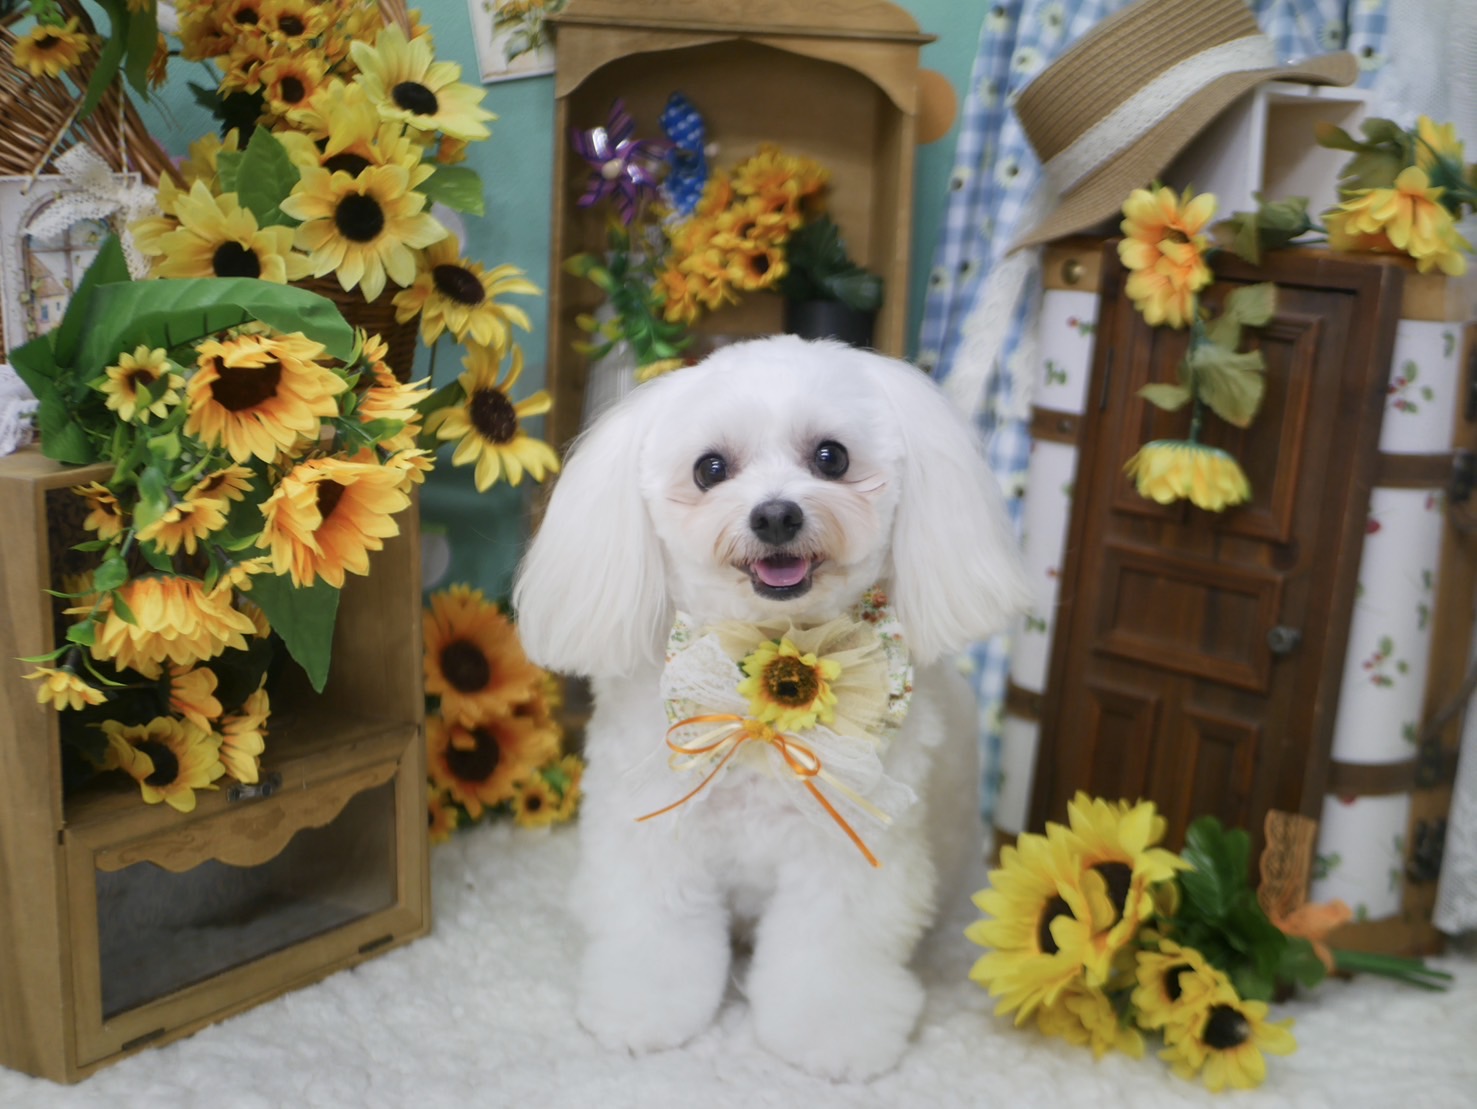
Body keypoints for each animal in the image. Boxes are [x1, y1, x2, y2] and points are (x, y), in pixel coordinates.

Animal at [513, 335, 1027, 1080]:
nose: (776, 514)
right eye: (710, 469)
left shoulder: (848, 851)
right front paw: (641, 1011)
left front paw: (832, 1035)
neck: (762, 669)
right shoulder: (657, 835)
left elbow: (828, 947)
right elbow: (657, 928)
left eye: (831, 457)